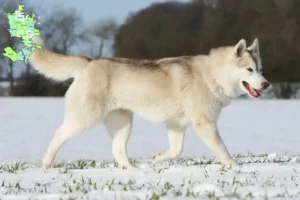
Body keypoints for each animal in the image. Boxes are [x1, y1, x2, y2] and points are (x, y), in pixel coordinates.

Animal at [29, 36, 270, 170]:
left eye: (260, 69)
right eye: (249, 70)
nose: (266, 84)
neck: (212, 76)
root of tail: (89, 62)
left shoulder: (176, 125)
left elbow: (176, 151)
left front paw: (157, 159)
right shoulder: (205, 124)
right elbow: (221, 149)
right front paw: (234, 166)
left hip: (123, 124)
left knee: (118, 150)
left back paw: (135, 171)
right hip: (84, 119)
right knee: (58, 135)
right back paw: (46, 162)